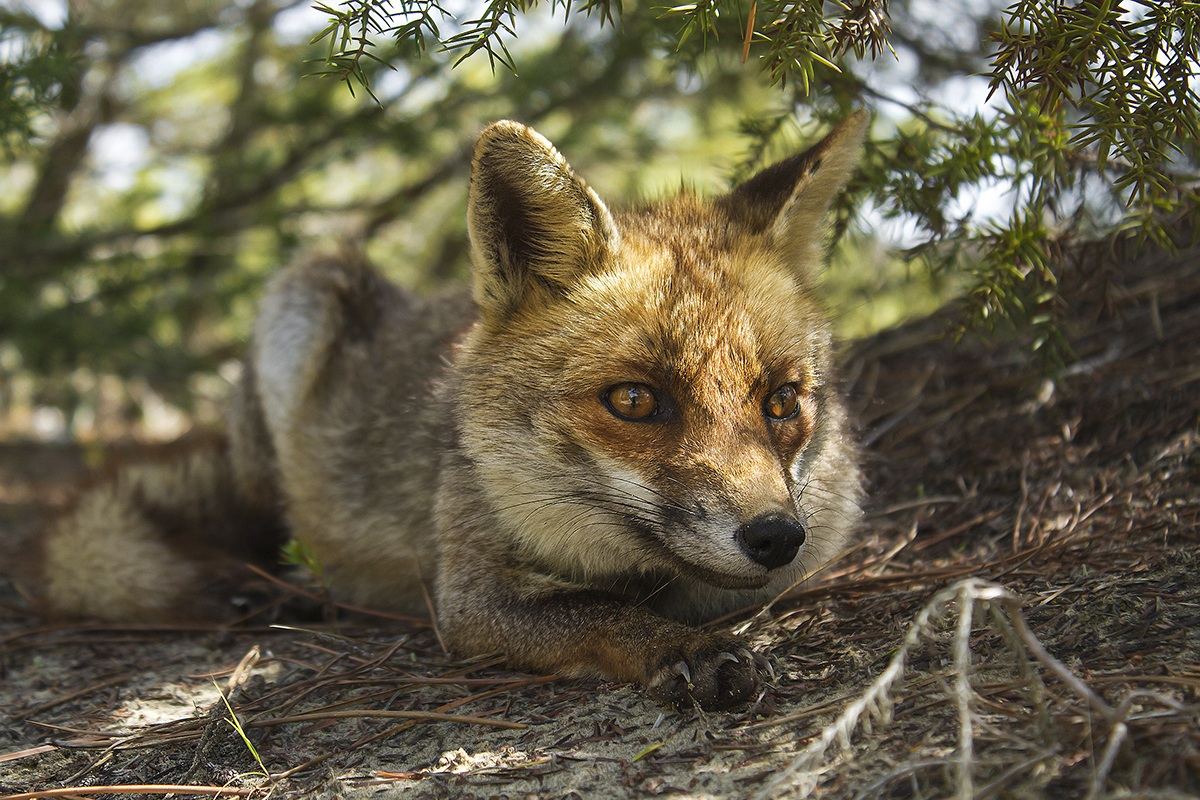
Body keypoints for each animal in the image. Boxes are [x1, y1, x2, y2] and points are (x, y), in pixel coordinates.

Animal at [40, 112, 867, 710]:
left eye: (782, 401)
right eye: (634, 400)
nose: (774, 536)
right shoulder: (470, 596)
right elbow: (599, 613)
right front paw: (678, 649)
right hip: (304, 301)